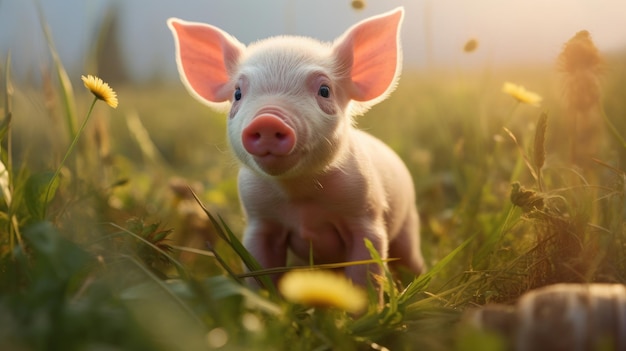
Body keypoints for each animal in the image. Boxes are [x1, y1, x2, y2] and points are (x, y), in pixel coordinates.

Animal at [168, 8, 424, 288]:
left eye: (324, 90)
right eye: (237, 94)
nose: (268, 119)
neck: (300, 195)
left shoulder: (366, 216)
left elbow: (364, 274)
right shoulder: (259, 222)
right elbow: (261, 272)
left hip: (408, 224)